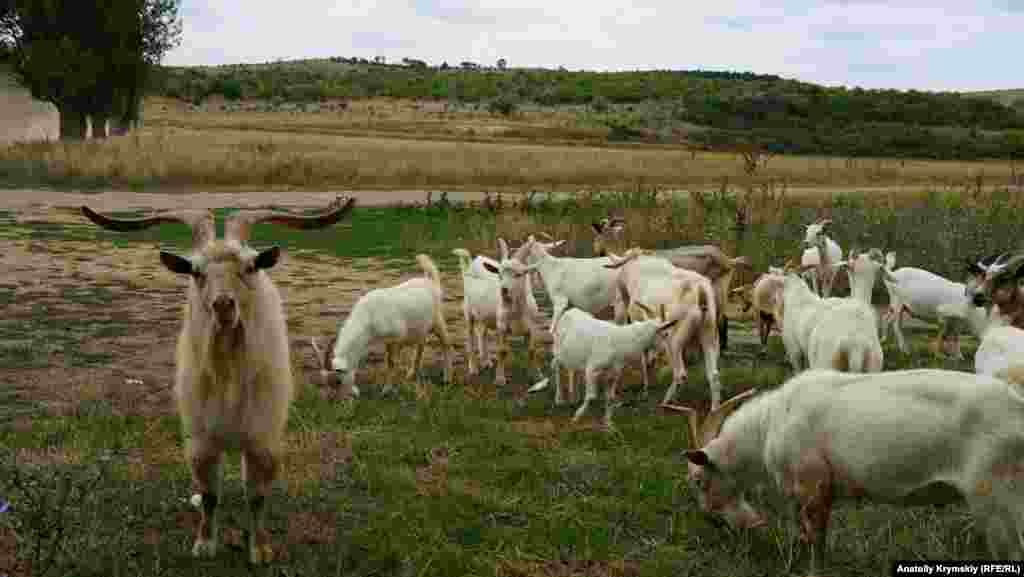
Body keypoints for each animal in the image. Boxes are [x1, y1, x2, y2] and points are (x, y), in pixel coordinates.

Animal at [77, 195, 356, 565]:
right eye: (196, 272)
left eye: (250, 268)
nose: (223, 305)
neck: (229, 374)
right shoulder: (201, 440)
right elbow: (209, 495)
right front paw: (204, 543)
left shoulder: (263, 438)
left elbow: (257, 497)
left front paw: (260, 549)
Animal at [528, 303, 679, 428]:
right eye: (665, 334)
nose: (666, 352)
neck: (620, 341)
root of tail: (569, 312)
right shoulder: (592, 369)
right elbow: (591, 396)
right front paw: (577, 416)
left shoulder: (613, 374)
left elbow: (610, 398)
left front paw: (608, 423)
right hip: (558, 350)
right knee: (557, 368)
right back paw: (559, 399)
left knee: (574, 371)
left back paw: (574, 397)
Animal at [667, 371, 1024, 577]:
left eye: (698, 481)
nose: (712, 522)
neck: (768, 426)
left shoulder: (813, 486)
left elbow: (816, 543)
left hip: (997, 496)